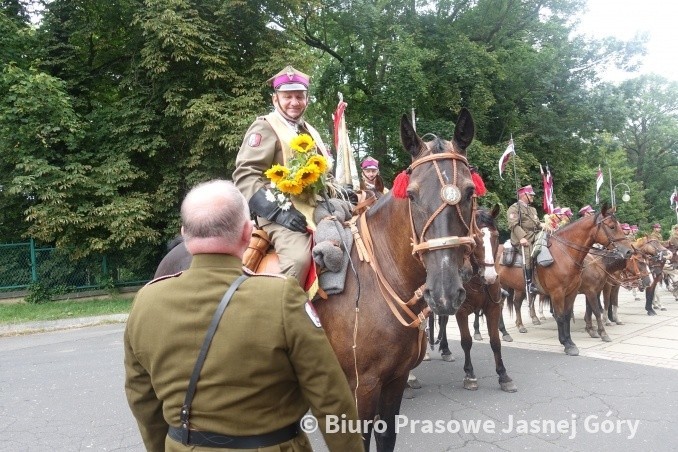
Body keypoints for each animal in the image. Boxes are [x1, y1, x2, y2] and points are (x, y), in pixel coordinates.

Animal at [496, 205, 636, 356]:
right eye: (612, 226)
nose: (629, 251)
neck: (565, 253)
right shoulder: (558, 293)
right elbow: (561, 316)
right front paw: (566, 343)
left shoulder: (572, 292)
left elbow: (568, 315)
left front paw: (571, 342)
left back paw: (505, 332)